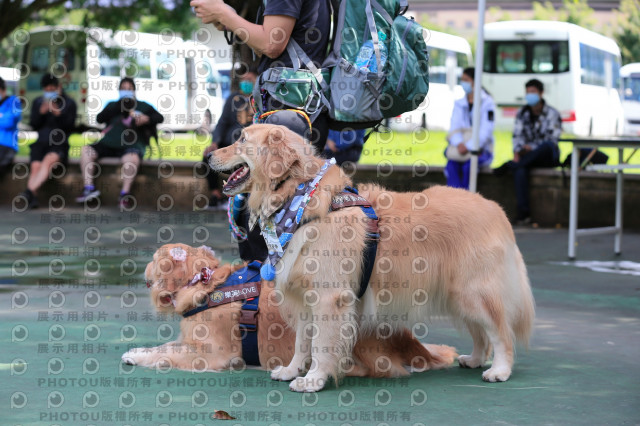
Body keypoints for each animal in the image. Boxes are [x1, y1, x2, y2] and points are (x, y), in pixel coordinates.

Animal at [121, 243, 460, 376]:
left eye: (154, 258)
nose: (143, 268)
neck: (204, 285)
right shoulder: (190, 342)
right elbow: (163, 346)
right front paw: (136, 351)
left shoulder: (212, 354)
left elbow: (167, 356)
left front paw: (142, 358)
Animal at [209, 124, 536, 392]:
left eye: (241, 139)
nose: (208, 155)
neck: (296, 196)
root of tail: (496, 208)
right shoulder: (305, 298)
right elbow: (303, 341)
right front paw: (292, 370)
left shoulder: (329, 298)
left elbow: (322, 343)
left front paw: (314, 380)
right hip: (459, 296)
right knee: (481, 333)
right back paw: (476, 359)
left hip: (474, 292)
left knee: (500, 333)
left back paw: (499, 370)